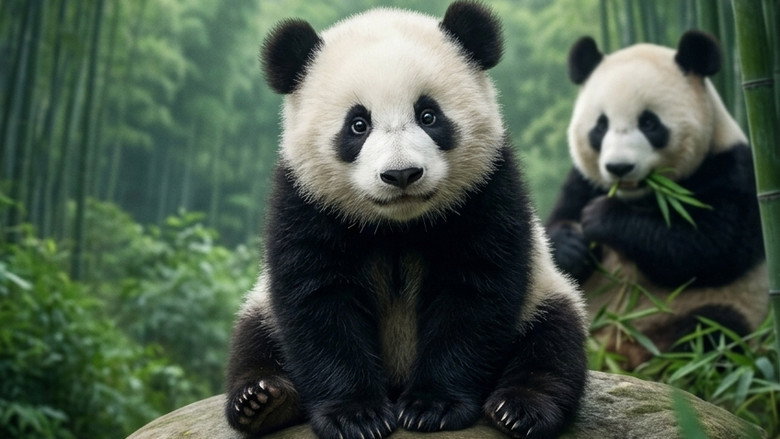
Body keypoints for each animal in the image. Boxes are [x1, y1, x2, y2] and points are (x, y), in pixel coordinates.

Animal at [225, 2, 587, 439]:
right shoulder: (305, 203)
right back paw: (263, 400)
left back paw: (520, 408)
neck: (398, 224)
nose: (401, 174)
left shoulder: (487, 192)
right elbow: (318, 299)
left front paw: (433, 406)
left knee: (553, 342)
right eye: (358, 124)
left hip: (544, 291)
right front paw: (356, 415)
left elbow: (474, 293)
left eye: (428, 115)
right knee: (253, 339)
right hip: (261, 307)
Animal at [547, 30, 768, 369]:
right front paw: (573, 245)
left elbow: (706, 247)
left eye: (649, 123)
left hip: (718, 310)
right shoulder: (583, 181)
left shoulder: (732, 170)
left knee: (713, 332)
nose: (619, 167)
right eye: (601, 126)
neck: (642, 195)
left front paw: (603, 217)